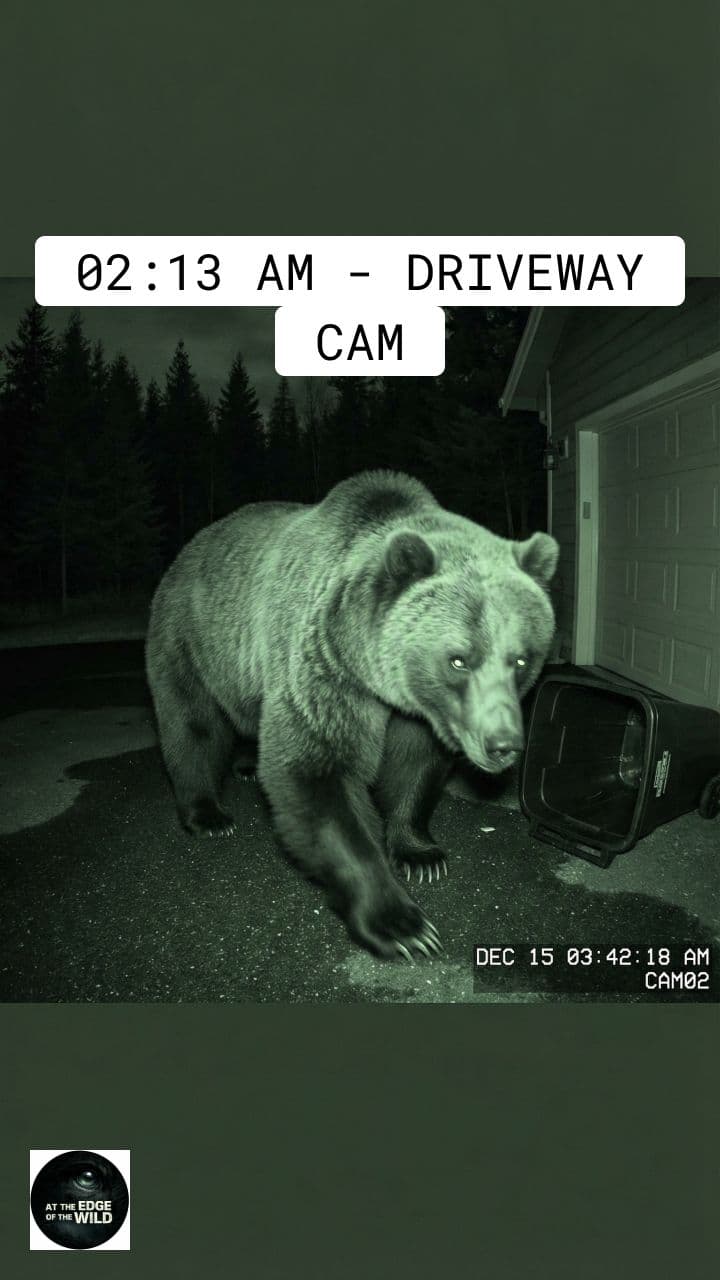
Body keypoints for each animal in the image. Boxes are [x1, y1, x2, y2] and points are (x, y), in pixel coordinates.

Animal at [145, 470, 558, 960]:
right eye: (459, 659)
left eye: (520, 659)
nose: (502, 745)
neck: (381, 679)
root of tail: (193, 546)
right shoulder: (326, 667)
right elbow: (316, 772)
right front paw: (403, 926)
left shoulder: (418, 713)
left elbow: (415, 767)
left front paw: (421, 854)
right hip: (192, 637)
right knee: (194, 724)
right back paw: (207, 814)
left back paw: (245, 766)